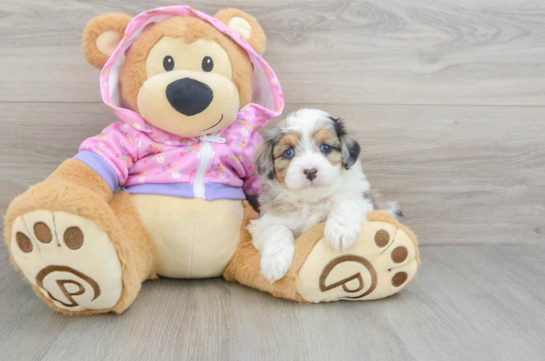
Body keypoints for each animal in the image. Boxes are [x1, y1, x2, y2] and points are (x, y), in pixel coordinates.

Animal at [248, 108, 400, 282]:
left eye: (326, 147)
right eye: (288, 152)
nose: (310, 171)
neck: (312, 199)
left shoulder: (363, 200)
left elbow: (345, 202)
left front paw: (340, 230)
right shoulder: (263, 222)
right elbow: (276, 229)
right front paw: (275, 262)